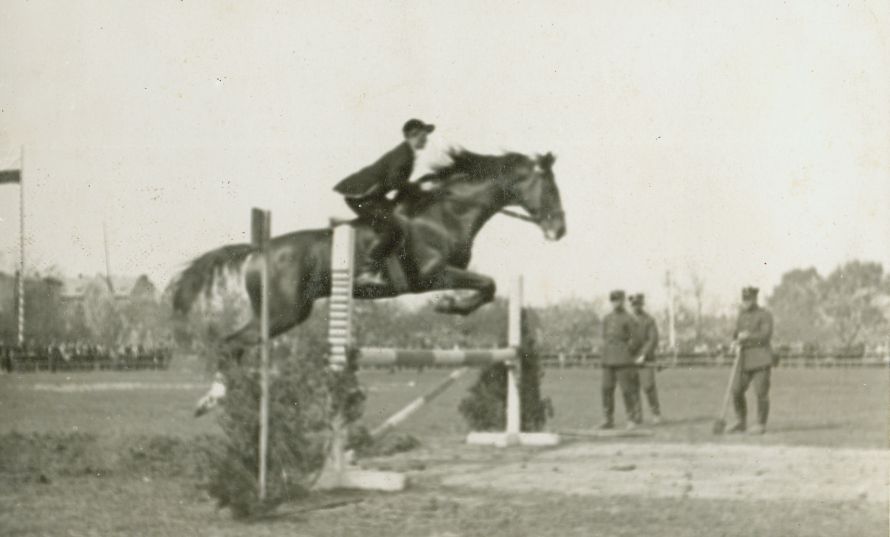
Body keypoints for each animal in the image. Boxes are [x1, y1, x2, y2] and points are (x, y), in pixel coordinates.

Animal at [172, 148, 566, 414]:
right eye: (549, 188)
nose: (559, 230)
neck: (446, 214)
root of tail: (259, 249)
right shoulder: (431, 274)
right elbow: (488, 285)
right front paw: (450, 305)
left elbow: (489, 287)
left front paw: (452, 305)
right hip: (283, 314)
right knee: (229, 344)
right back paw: (216, 398)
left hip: (281, 314)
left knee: (235, 347)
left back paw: (230, 397)